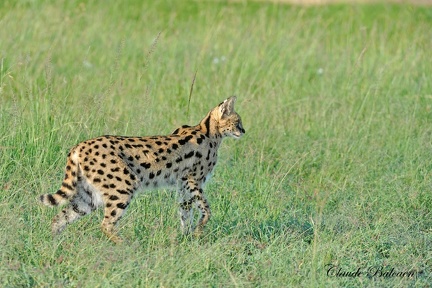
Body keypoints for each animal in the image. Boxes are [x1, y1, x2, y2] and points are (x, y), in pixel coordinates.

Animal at [39, 97, 246, 243]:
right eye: (237, 121)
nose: (243, 131)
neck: (208, 130)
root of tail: (79, 146)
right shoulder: (193, 180)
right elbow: (206, 209)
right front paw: (198, 230)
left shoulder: (183, 185)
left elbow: (185, 211)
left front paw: (186, 238)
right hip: (123, 186)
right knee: (105, 224)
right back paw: (126, 245)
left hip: (89, 196)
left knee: (60, 217)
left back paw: (53, 243)